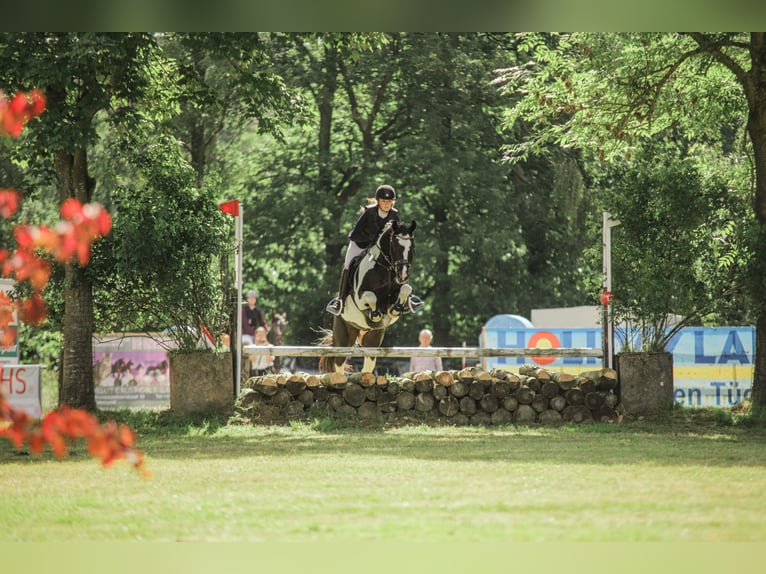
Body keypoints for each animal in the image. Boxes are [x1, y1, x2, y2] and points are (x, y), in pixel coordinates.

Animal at [322, 218, 424, 376]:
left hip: (373, 338)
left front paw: (395, 309)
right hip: (344, 336)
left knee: (368, 364)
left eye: (412, 247)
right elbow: (371, 297)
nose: (403, 275)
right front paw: (375, 314)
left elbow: (405, 289)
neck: (385, 268)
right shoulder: (359, 297)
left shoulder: (400, 288)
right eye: (395, 246)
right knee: (339, 363)